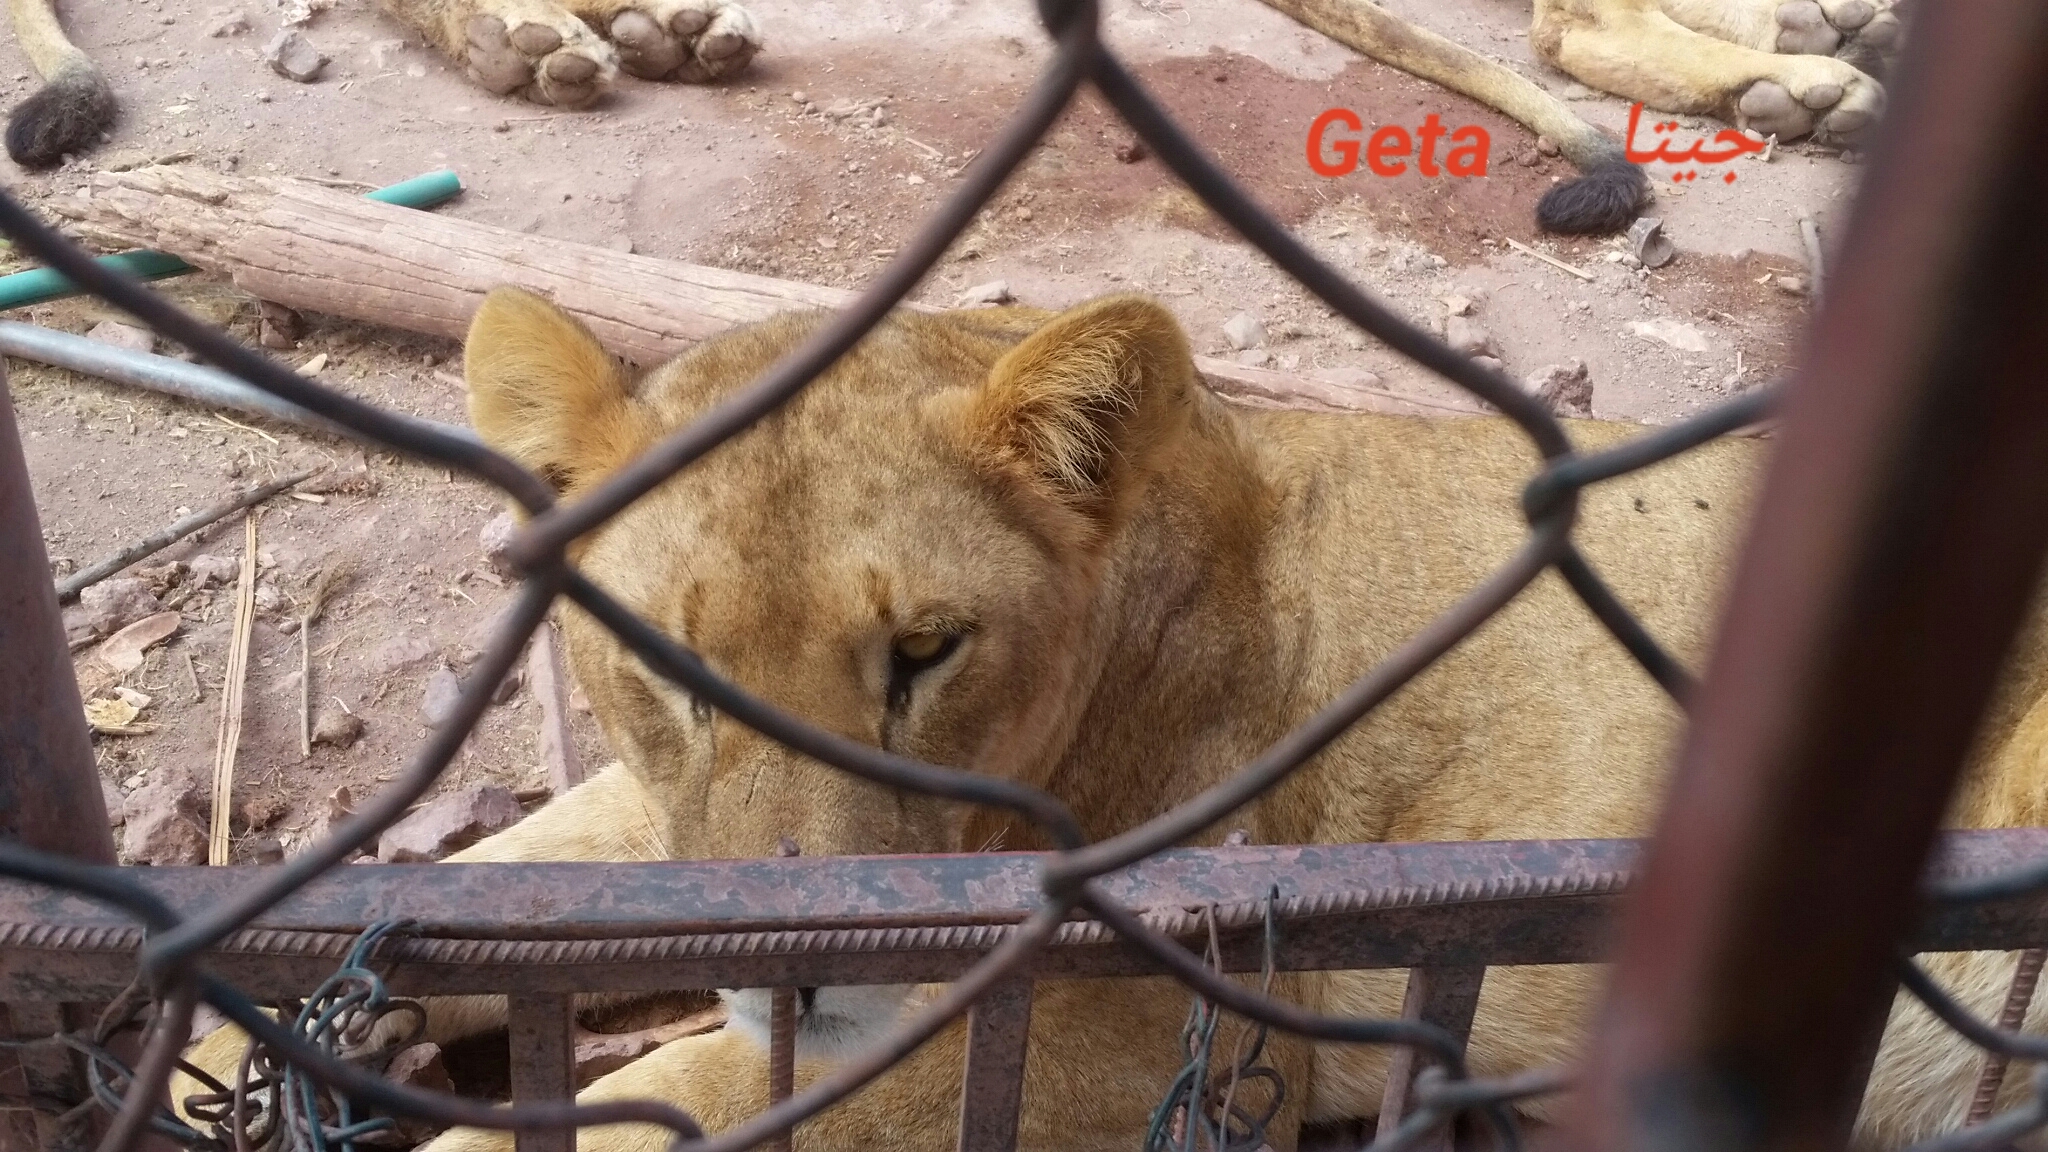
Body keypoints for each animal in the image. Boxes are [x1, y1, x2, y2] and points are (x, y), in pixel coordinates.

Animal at [180, 291, 2048, 1139]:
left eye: (926, 651)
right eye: (668, 668)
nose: (800, 965)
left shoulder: (1136, 1039)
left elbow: (692, 1096)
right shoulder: (653, 821)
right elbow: (501, 867)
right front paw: (231, 1020)